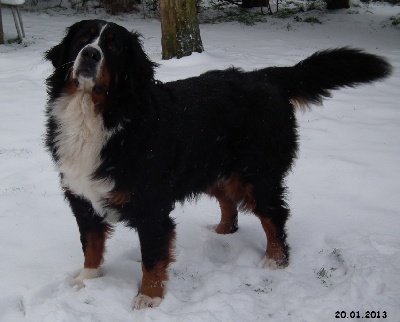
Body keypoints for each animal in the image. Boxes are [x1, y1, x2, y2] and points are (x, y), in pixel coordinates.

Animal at [43, 18, 390, 310]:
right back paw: (223, 231)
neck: (97, 114)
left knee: (274, 214)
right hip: (213, 169)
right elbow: (91, 244)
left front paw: (149, 297)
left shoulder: (151, 206)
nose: (90, 54)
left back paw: (275, 259)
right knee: (229, 202)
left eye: (114, 46)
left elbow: (151, 257)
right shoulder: (81, 196)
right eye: (82, 39)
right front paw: (87, 280)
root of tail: (263, 75)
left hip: (256, 175)